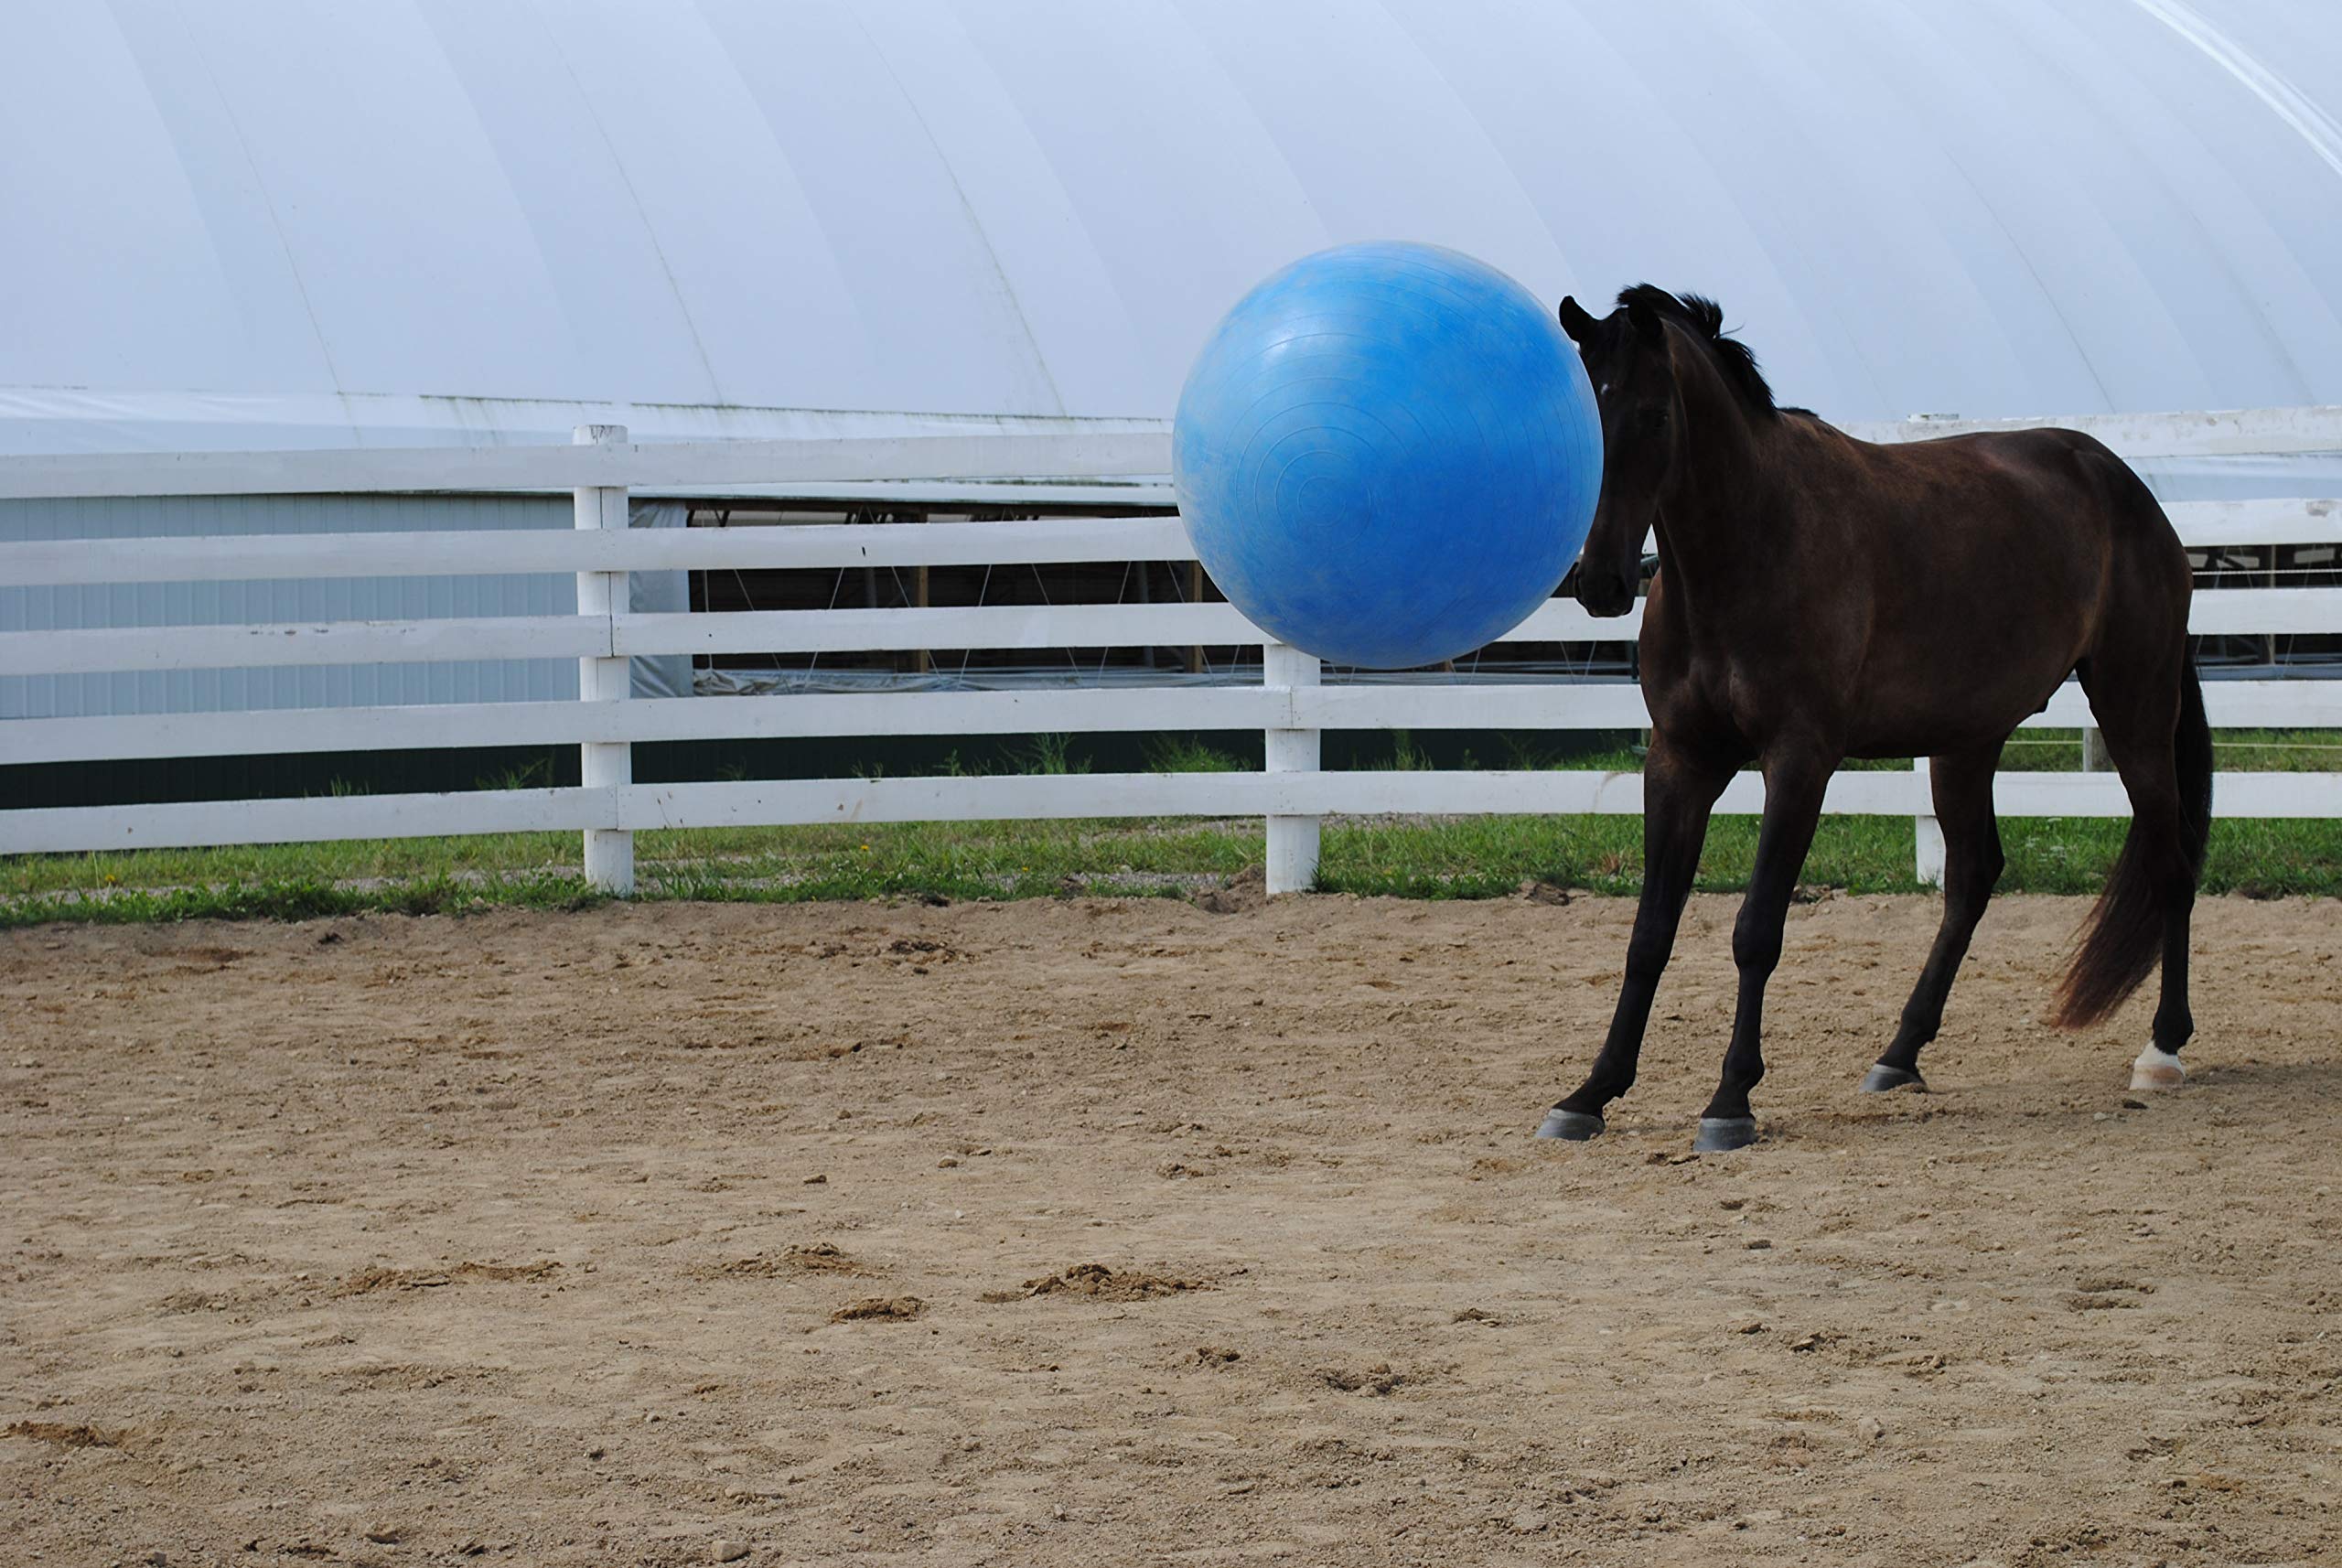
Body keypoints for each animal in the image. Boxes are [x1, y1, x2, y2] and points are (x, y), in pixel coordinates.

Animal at [1537, 286, 2211, 1153]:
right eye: (1587, 414)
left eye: (1654, 416)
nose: (1600, 583)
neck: (1751, 545)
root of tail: (2125, 485)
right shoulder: (1680, 761)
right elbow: (1649, 934)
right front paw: (1591, 1093)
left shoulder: (1799, 762)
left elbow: (1756, 930)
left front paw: (1731, 1101)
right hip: (1967, 744)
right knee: (1972, 880)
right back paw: (1900, 1054)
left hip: (2134, 709)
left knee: (2171, 862)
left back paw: (2163, 1049)